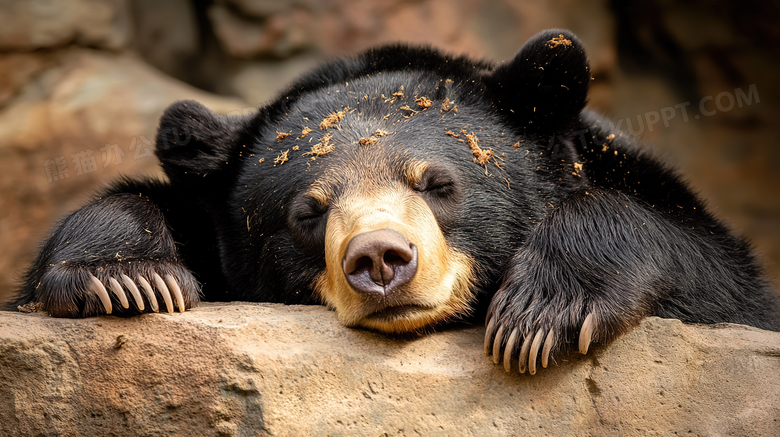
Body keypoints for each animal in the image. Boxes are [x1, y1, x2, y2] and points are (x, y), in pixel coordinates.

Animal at [12, 28, 780, 374]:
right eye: (308, 211)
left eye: (437, 183)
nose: (381, 258)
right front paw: (126, 278)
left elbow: (718, 273)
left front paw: (542, 315)